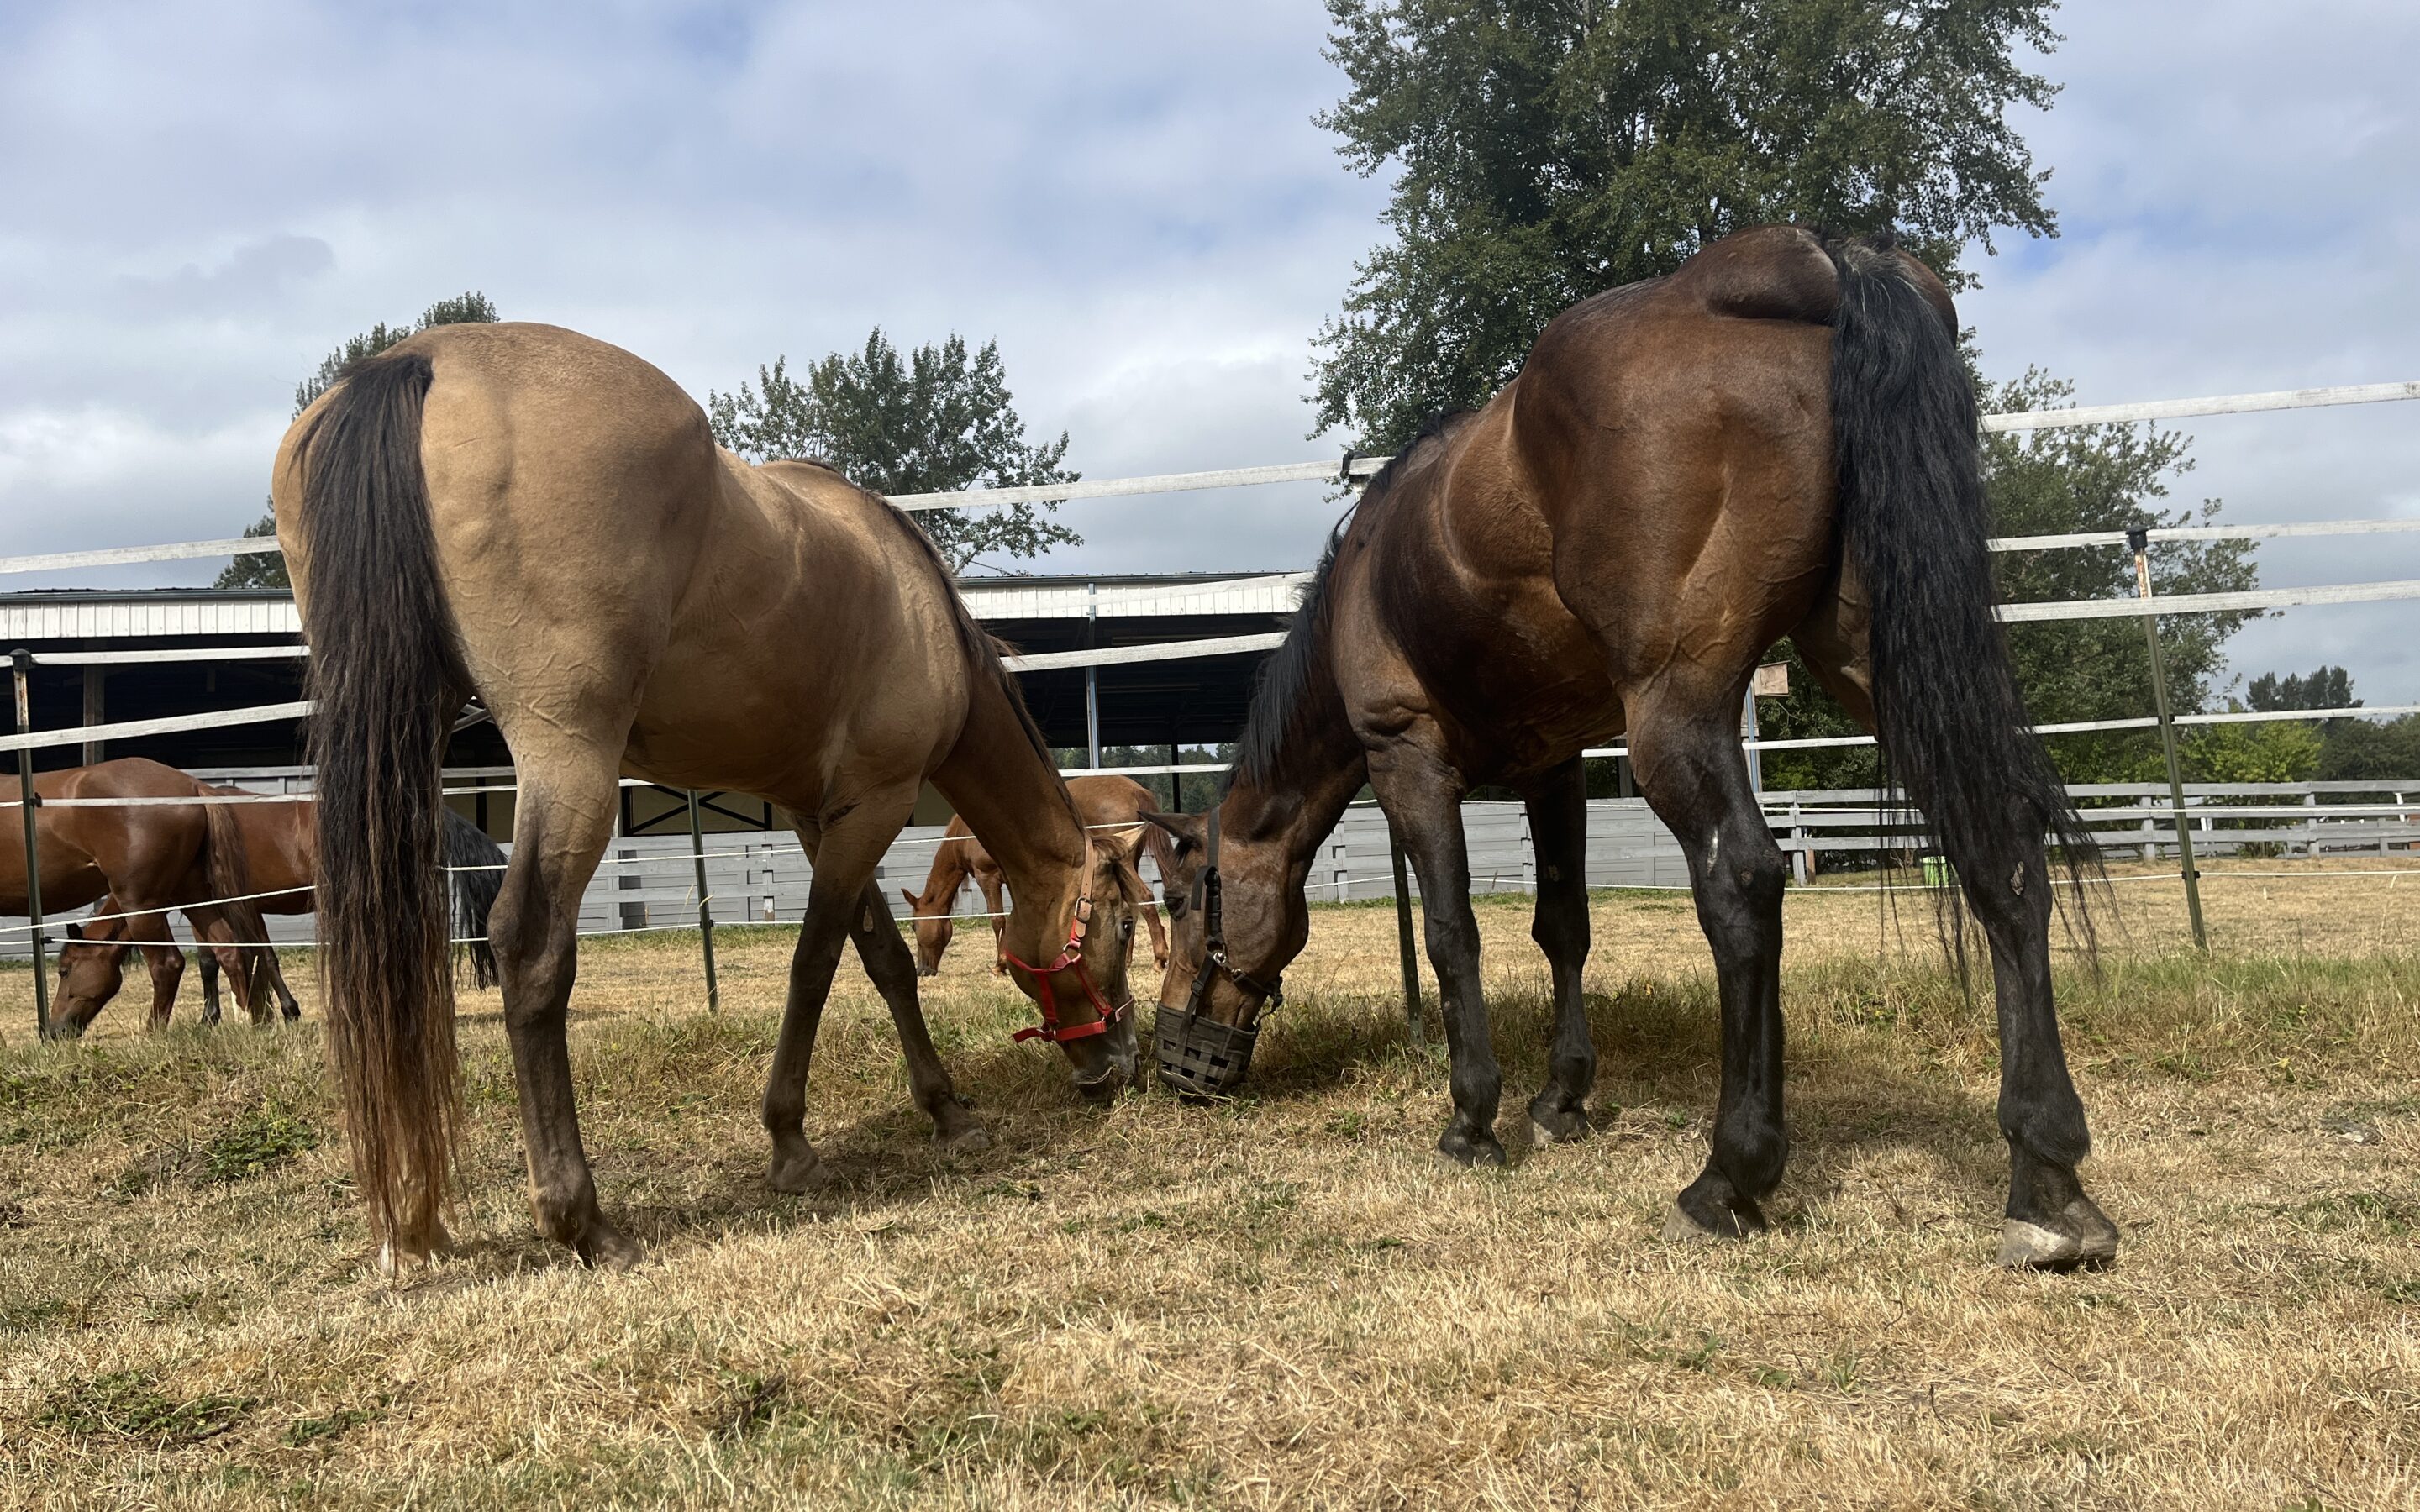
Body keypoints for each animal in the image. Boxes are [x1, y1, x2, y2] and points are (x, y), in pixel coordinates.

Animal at [0, 754, 270, 1035]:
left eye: (64, 971)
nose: (55, 1030)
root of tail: (194, 787)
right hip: (190, 893)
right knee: (229, 949)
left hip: (141, 907)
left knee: (167, 965)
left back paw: (152, 1034)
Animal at [48, 798, 505, 1030]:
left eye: (65, 969)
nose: (56, 1030)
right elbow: (223, 960)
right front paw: (227, 1016)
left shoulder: (238, 907)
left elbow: (254, 957)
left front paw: (272, 1012)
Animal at [274, 323, 1142, 1268]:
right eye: (1126, 927)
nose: (1121, 1063)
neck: (921, 612)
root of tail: (425, 358)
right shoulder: (873, 806)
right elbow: (817, 963)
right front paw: (793, 1144)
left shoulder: (820, 813)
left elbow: (883, 959)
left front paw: (945, 1108)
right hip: (568, 759)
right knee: (530, 944)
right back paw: (582, 1221)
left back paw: (411, 1224)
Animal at [900, 779, 1181, 977]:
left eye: (914, 926)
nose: (922, 970)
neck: (965, 833)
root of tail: (1136, 790)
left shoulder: (987, 877)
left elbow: (997, 920)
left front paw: (1000, 965)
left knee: (1144, 897)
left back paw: (1159, 959)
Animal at [1142, 221, 2110, 1257]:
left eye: (1186, 904)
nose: (1173, 1061)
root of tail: (1809, 265)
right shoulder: (1556, 765)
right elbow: (1563, 925)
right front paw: (1562, 1098)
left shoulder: (1407, 759)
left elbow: (1452, 932)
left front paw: (1473, 1117)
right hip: (1876, 665)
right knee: (2000, 847)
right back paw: (2048, 1177)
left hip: (1676, 713)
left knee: (1743, 881)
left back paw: (1731, 1174)